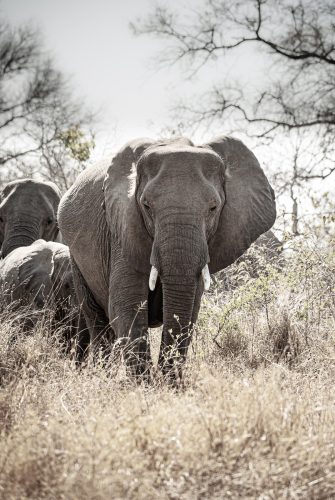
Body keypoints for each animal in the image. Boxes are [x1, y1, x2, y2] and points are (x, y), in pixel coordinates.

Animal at [58, 135, 278, 380]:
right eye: (146, 206)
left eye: (213, 208)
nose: (165, 379)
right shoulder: (122, 228)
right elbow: (127, 306)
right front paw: (144, 384)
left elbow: (189, 311)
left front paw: (168, 382)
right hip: (76, 259)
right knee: (98, 322)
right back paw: (102, 376)